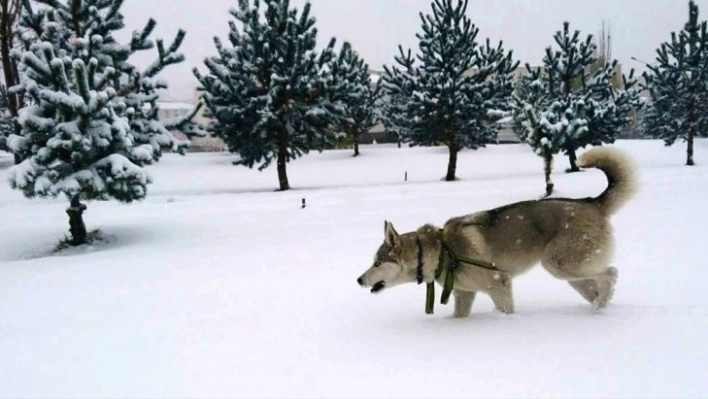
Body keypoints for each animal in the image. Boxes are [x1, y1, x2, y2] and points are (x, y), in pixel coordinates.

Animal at [356, 147, 640, 318]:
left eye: (377, 263)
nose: (358, 280)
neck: (442, 252)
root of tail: (591, 202)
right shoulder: (464, 294)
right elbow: (459, 316)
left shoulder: (499, 283)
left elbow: (506, 310)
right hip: (572, 274)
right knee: (600, 283)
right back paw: (600, 309)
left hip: (560, 264)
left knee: (611, 273)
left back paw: (601, 306)